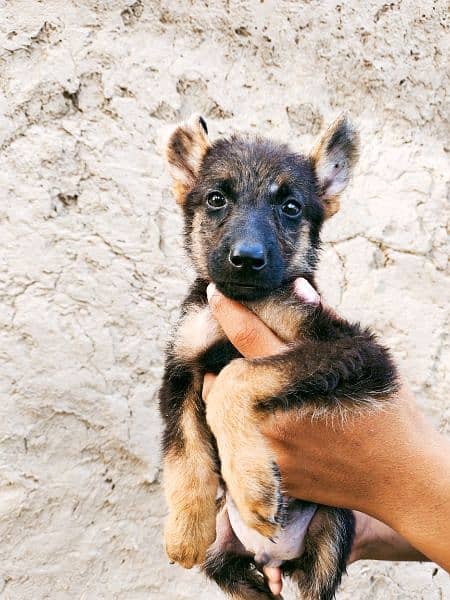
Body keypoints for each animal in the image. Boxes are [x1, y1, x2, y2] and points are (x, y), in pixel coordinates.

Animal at [159, 113, 398, 600]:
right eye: (216, 199)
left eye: (290, 207)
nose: (247, 259)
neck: (249, 300)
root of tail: (275, 559)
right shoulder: (181, 368)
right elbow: (184, 452)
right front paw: (185, 529)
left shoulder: (355, 350)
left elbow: (238, 375)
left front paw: (252, 486)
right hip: (226, 556)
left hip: (332, 533)